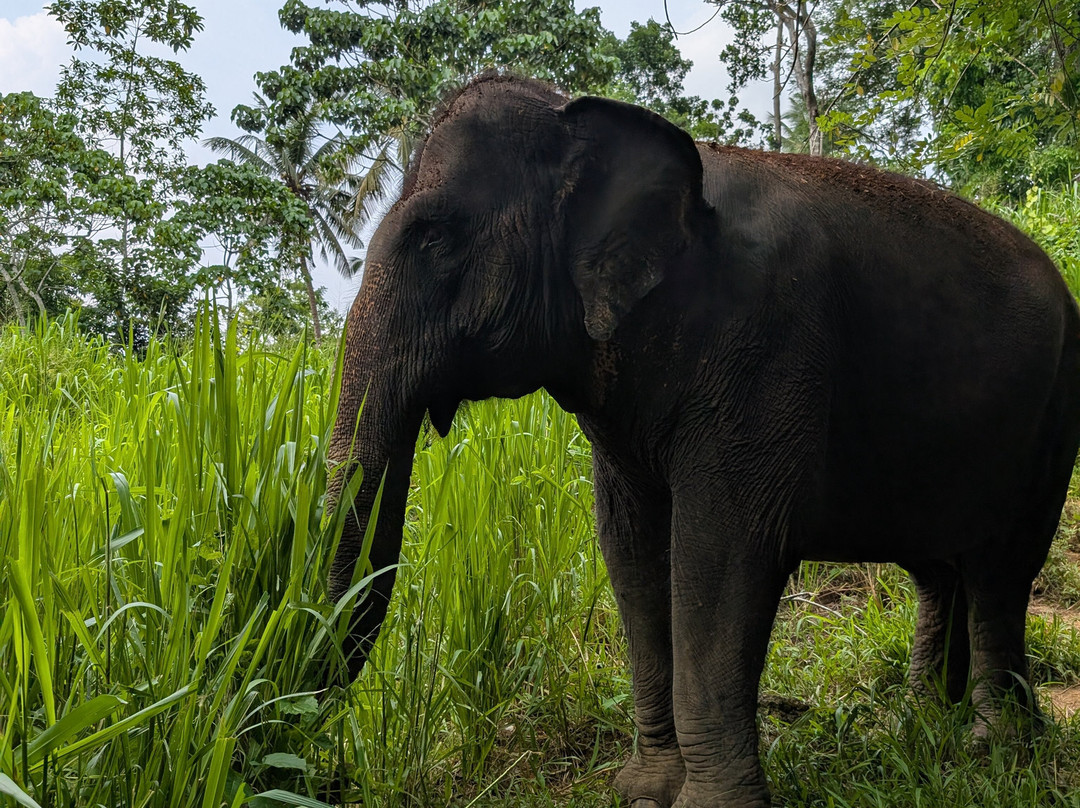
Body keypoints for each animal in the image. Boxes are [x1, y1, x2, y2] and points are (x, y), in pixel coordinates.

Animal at [322, 73, 1080, 808]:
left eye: (434, 238)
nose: (337, 779)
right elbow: (631, 549)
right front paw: (645, 792)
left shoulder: (764, 349)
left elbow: (722, 551)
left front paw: (706, 803)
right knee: (938, 570)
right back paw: (922, 726)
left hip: (1050, 423)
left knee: (999, 571)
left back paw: (996, 747)